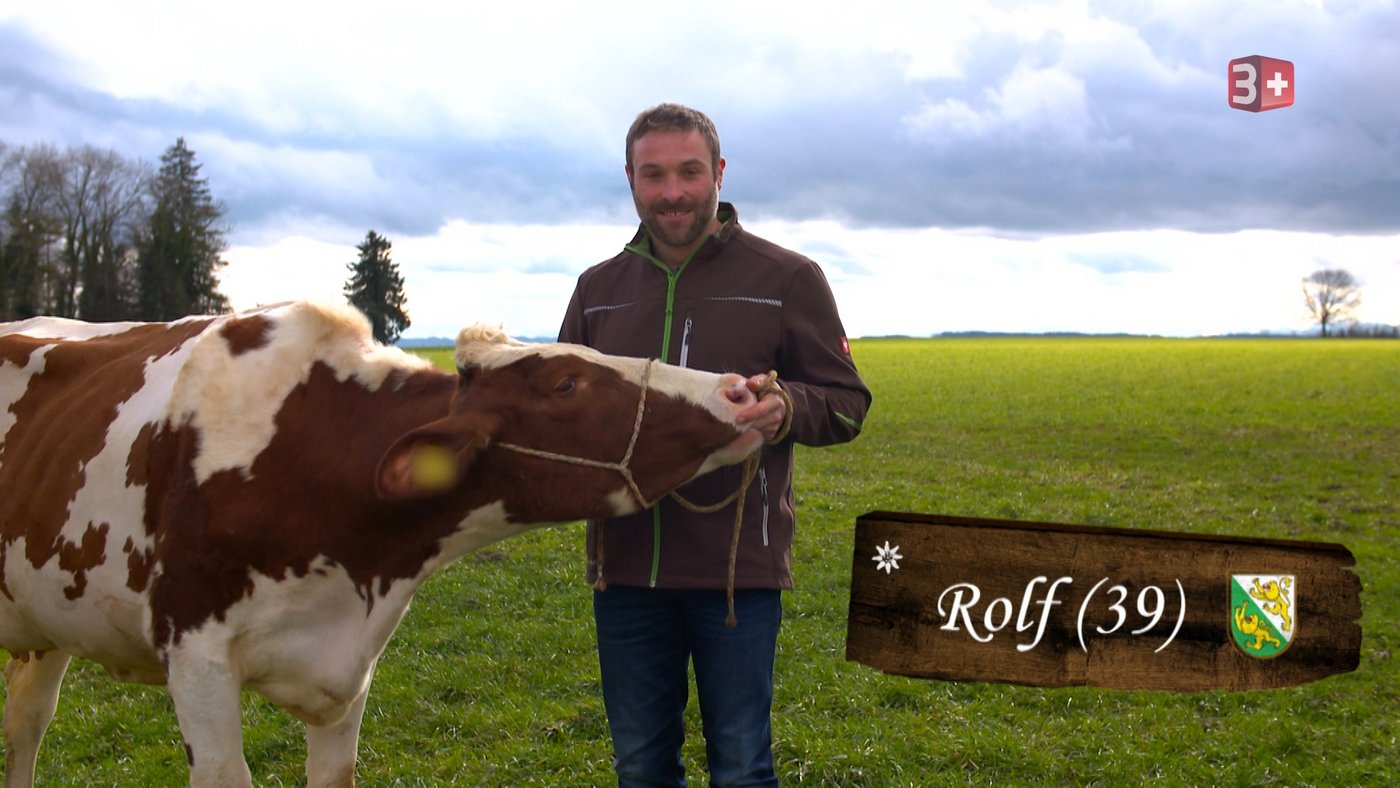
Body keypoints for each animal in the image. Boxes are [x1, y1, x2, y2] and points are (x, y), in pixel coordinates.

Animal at [0, 300, 765, 786]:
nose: (745, 389)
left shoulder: (347, 676)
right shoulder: (196, 660)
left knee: (26, 729)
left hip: (44, 627)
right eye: (566, 382)